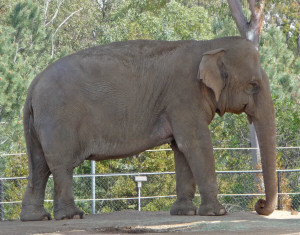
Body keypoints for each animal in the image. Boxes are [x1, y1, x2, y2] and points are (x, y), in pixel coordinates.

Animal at [19, 36, 278, 220]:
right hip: (58, 118)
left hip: (38, 123)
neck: (208, 45)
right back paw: (71, 216)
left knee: (39, 167)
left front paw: (184, 213)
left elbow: (181, 148)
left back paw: (36, 218)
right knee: (61, 165)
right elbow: (195, 143)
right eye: (253, 85)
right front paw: (217, 213)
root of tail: (33, 84)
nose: (259, 204)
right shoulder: (183, 96)